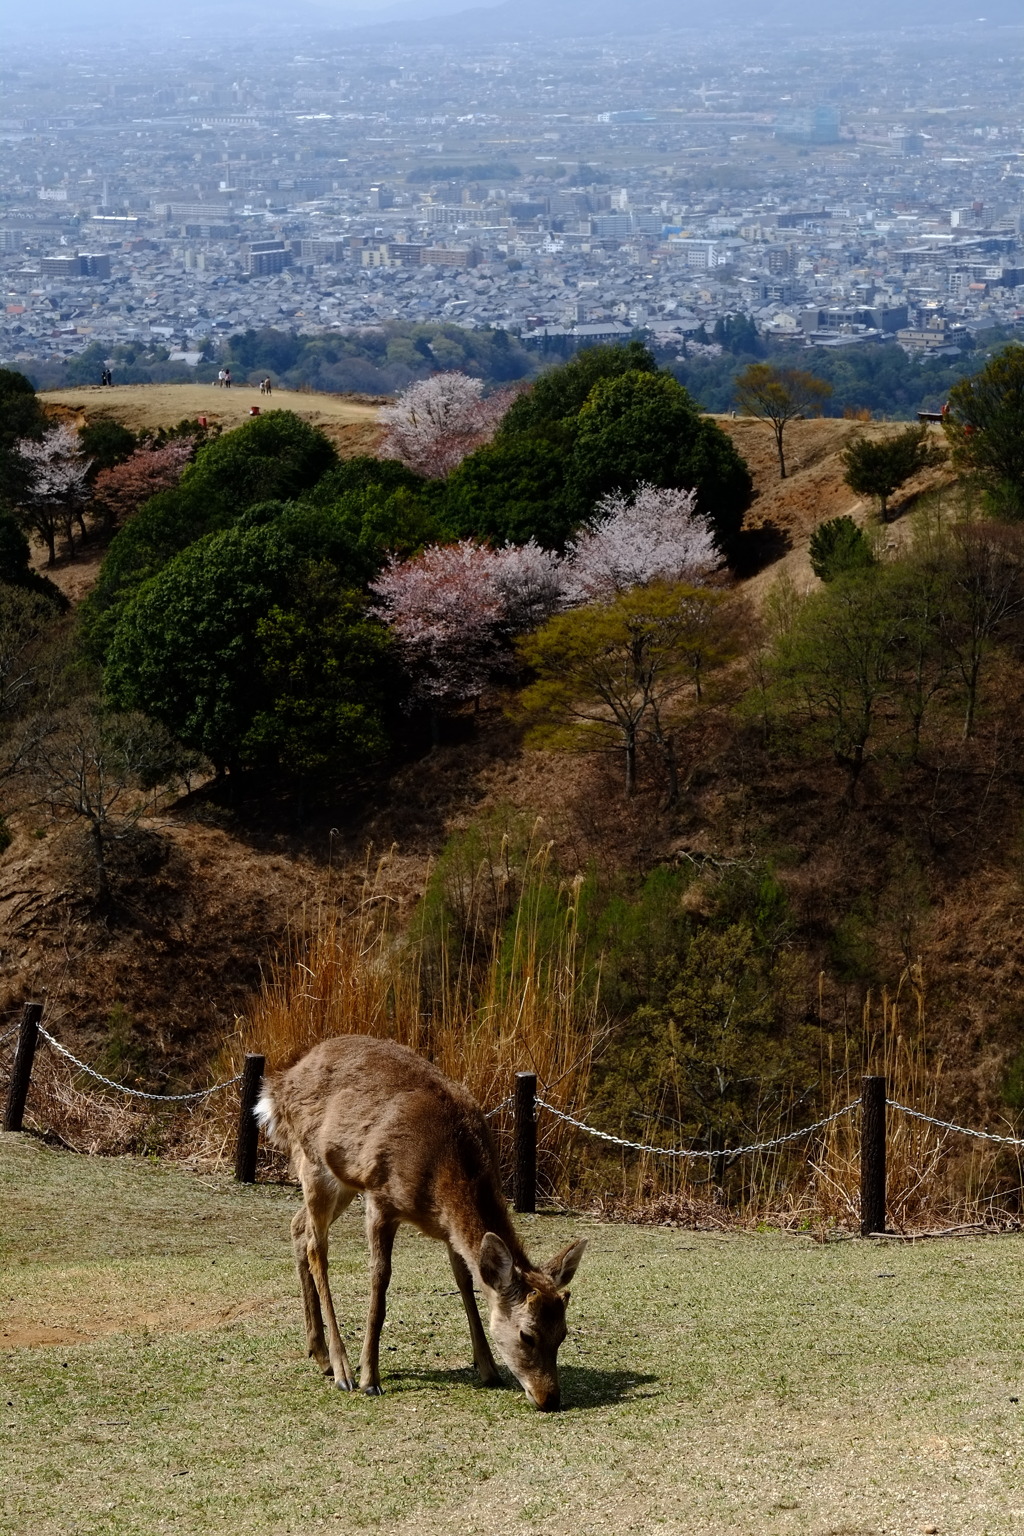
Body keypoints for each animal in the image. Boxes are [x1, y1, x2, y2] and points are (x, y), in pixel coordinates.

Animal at [256, 1038, 589, 1406]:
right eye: (526, 1334)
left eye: (563, 1333)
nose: (550, 1398)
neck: (439, 1181)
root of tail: (277, 1087)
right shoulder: (380, 1197)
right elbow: (380, 1280)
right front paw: (370, 1378)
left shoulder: (447, 1231)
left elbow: (465, 1281)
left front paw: (488, 1368)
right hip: (313, 1162)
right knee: (317, 1247)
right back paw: (342, 1370)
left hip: (341, 1180)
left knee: (298, 1226)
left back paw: (320, 1355)